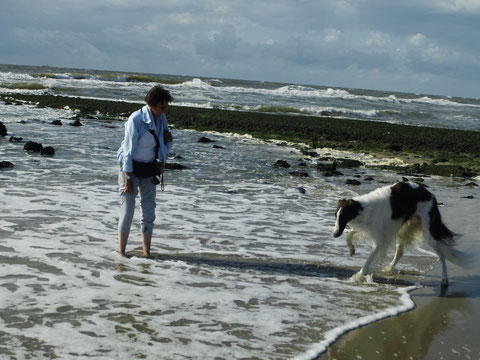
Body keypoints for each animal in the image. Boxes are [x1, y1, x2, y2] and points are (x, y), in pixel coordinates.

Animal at [334, 181, 468, 288]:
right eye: (335, 216)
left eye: (343, 216)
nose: (335, 235)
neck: (363, 208)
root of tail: (431, 195)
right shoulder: (368, 228)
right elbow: (349, 235)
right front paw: (351, 249)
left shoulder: (379, 240)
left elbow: (367, 261)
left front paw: (358, 276)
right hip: (402, 228)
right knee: (400, 252)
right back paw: (390, 268)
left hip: (427, 233)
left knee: (442, 255)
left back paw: (444, 279)